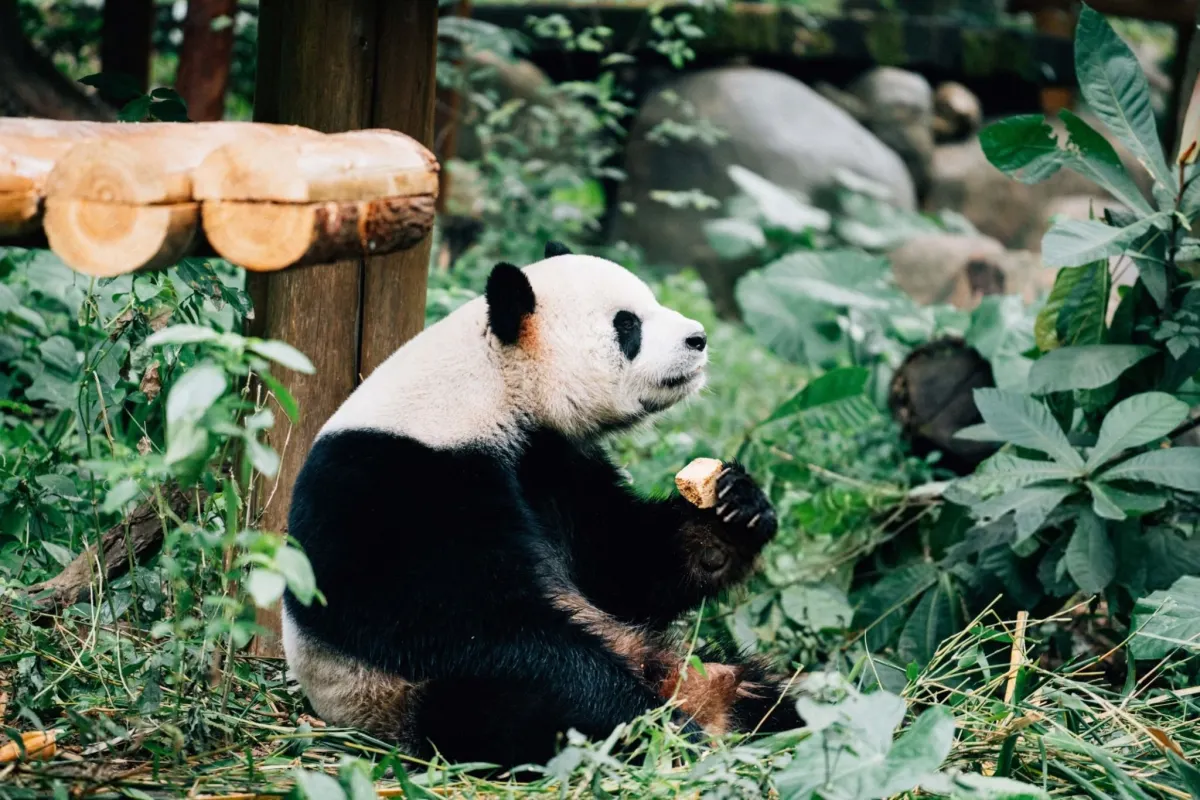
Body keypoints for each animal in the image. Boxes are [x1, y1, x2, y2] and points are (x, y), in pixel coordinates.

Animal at [281, 241, 804, 769]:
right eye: (627, 325)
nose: (698, 338)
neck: (491, 387)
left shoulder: (557, 465)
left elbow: (623, 567)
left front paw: (735, 509)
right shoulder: (399, 485)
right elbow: (478, 627)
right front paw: (646, 721)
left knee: (764, 692)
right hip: (394, 697)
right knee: (504, 705)